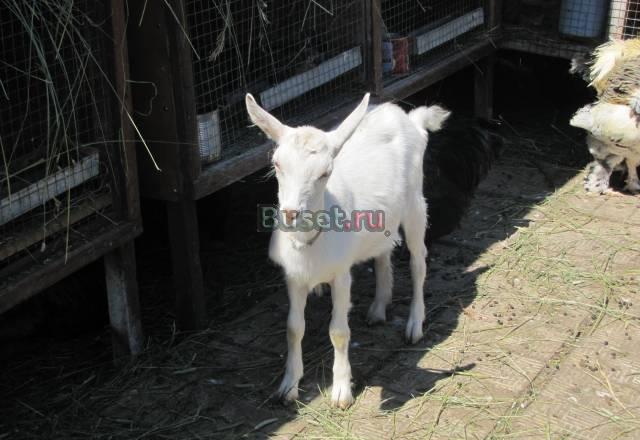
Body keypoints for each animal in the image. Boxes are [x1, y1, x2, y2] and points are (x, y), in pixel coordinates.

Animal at [245, 93, 450, 408]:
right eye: (277, 164)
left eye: (325, 172)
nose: (290, 214)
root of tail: (408, 118)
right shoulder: (294, 277)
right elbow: (293, 328)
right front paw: (288, 387)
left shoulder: (341, 275)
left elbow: (339, 332)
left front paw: (342, 391)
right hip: (384, 217)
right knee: (384, 251)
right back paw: (379, 307)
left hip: (416, 203)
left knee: (419, 263)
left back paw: (415, 324)